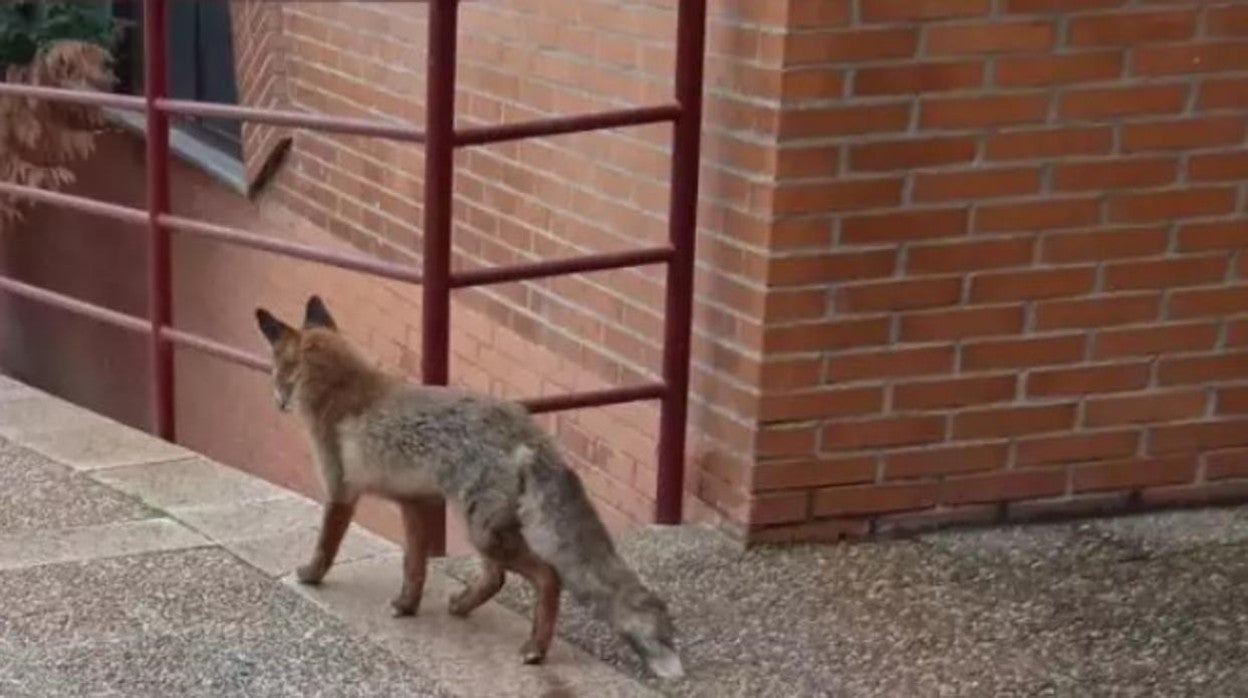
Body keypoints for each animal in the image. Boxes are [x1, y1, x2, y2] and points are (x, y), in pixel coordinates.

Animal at [249, 295, 688, 684]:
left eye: (274, 371)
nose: (276, 402)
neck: (343, 391)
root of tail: (526, 430)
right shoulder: (415, 503)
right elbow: (414, 567)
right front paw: (407, 606)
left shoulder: (340, 490)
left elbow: (326, 545)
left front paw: (310, 576)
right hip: (489, 529)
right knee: (496, 578)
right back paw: (464, 606)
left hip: (483, 531)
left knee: (546, 576)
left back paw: (535, 648)